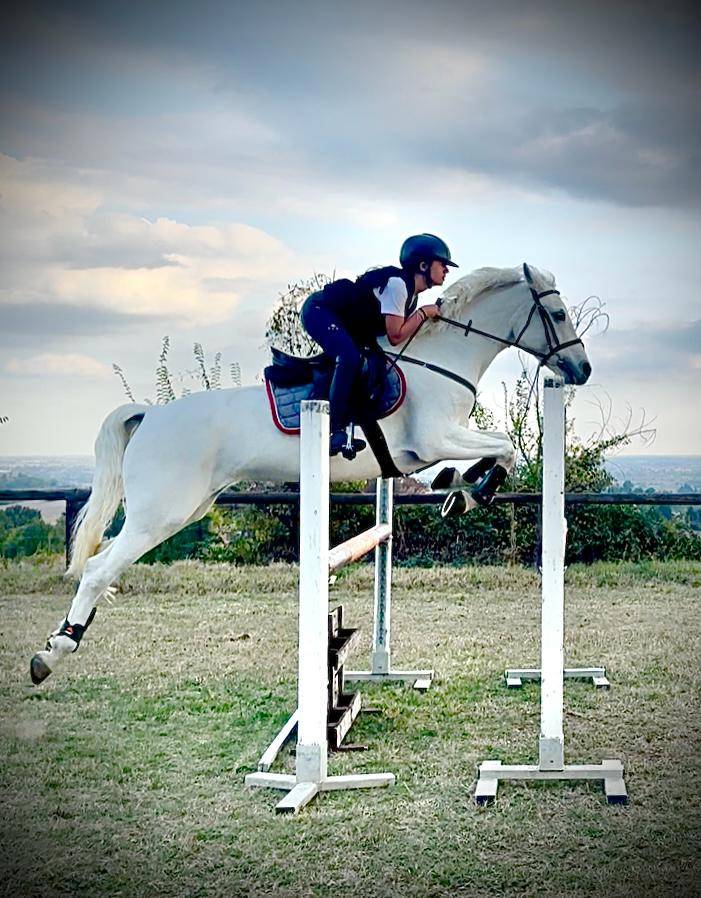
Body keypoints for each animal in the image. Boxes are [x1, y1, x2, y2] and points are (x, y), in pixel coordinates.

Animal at [30, 263, 591, 685]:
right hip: (161, 513)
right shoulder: (433, 439)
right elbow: (504, 448)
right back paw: (52, 653)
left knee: (105, 567)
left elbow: (496, 451)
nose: (582, 370)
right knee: (98, 568)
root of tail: (150, 414)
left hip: (190, 507)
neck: (440, 360)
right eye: (558, 314)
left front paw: (459, 486)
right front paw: (468, 489)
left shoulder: (429, 446)